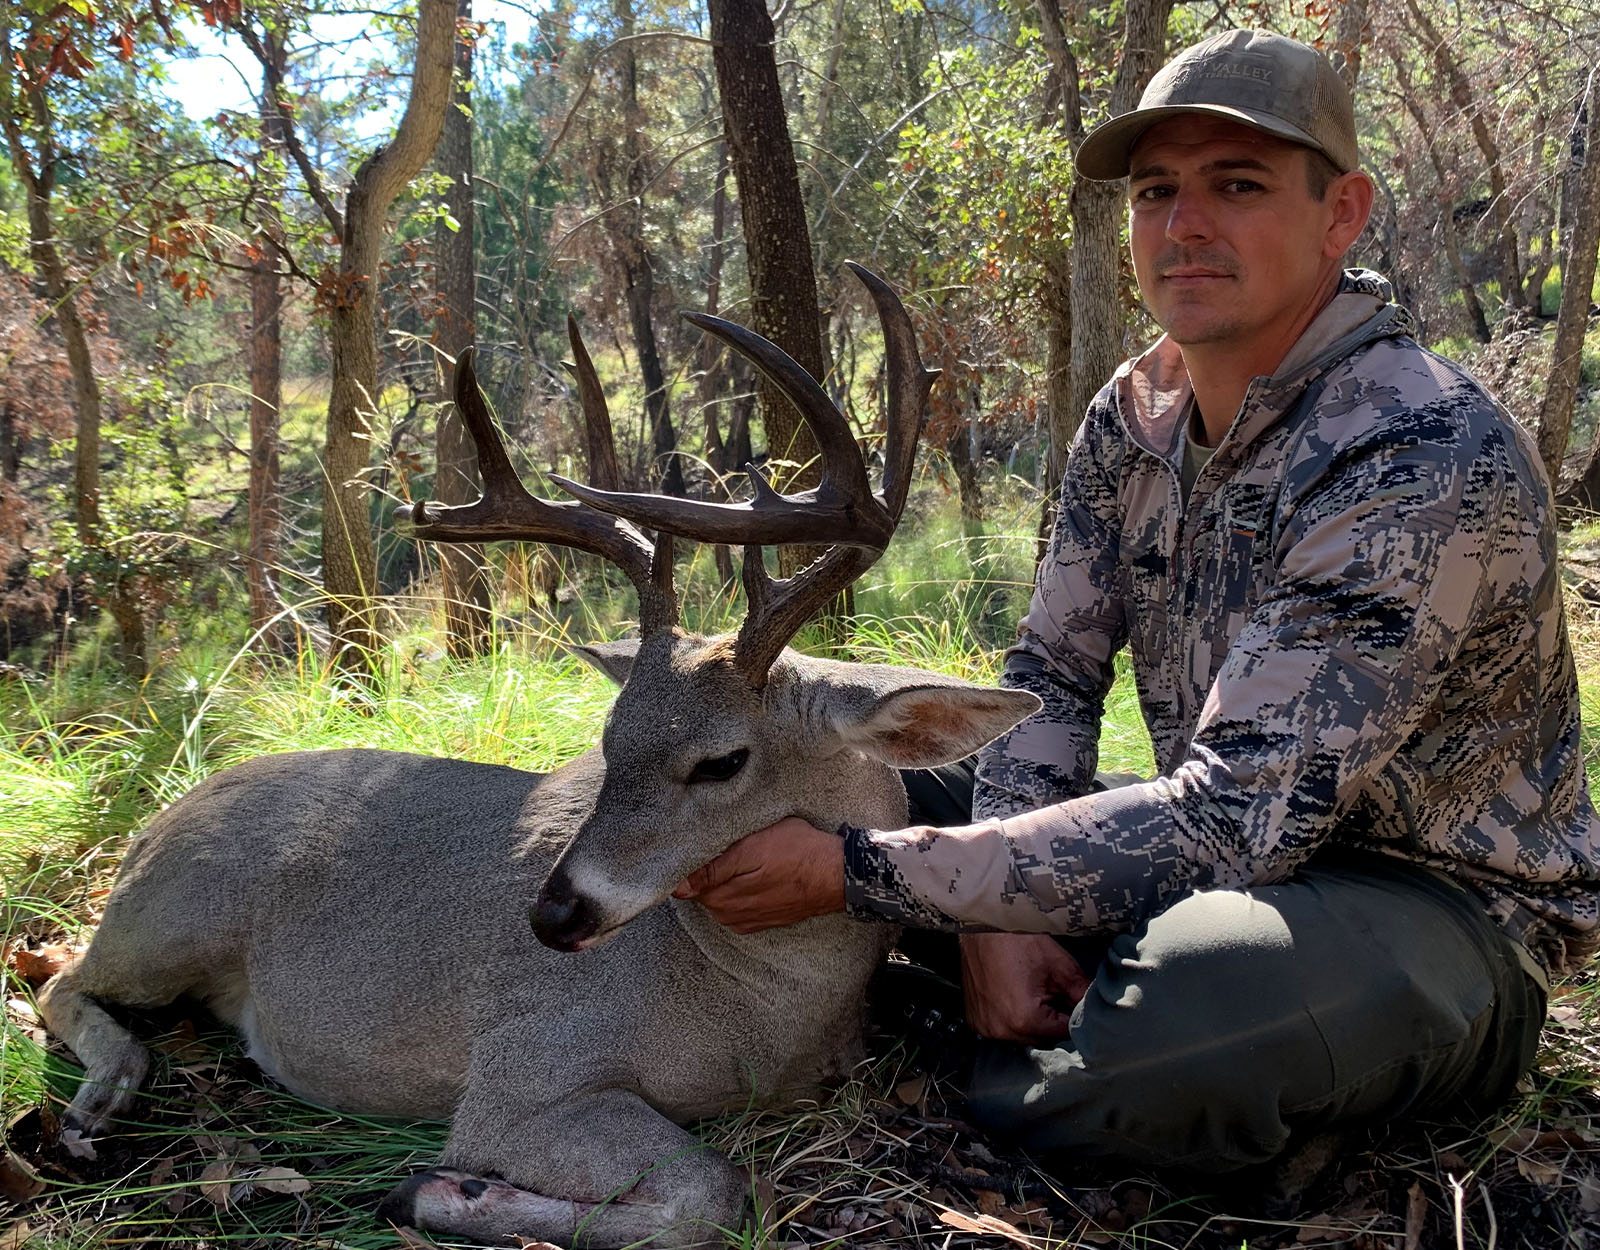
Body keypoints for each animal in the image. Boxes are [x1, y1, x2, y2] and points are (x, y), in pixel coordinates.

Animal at [40, 260, 1036, 1235]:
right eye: (608, 739)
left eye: (722, 760)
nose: (551, 915)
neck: (763, 1014)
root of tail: (154, 822)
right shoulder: (521, 1072)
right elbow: (711, 1194)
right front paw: (437, 1189)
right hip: (174, 916)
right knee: (61, 978)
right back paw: (102, 1099)